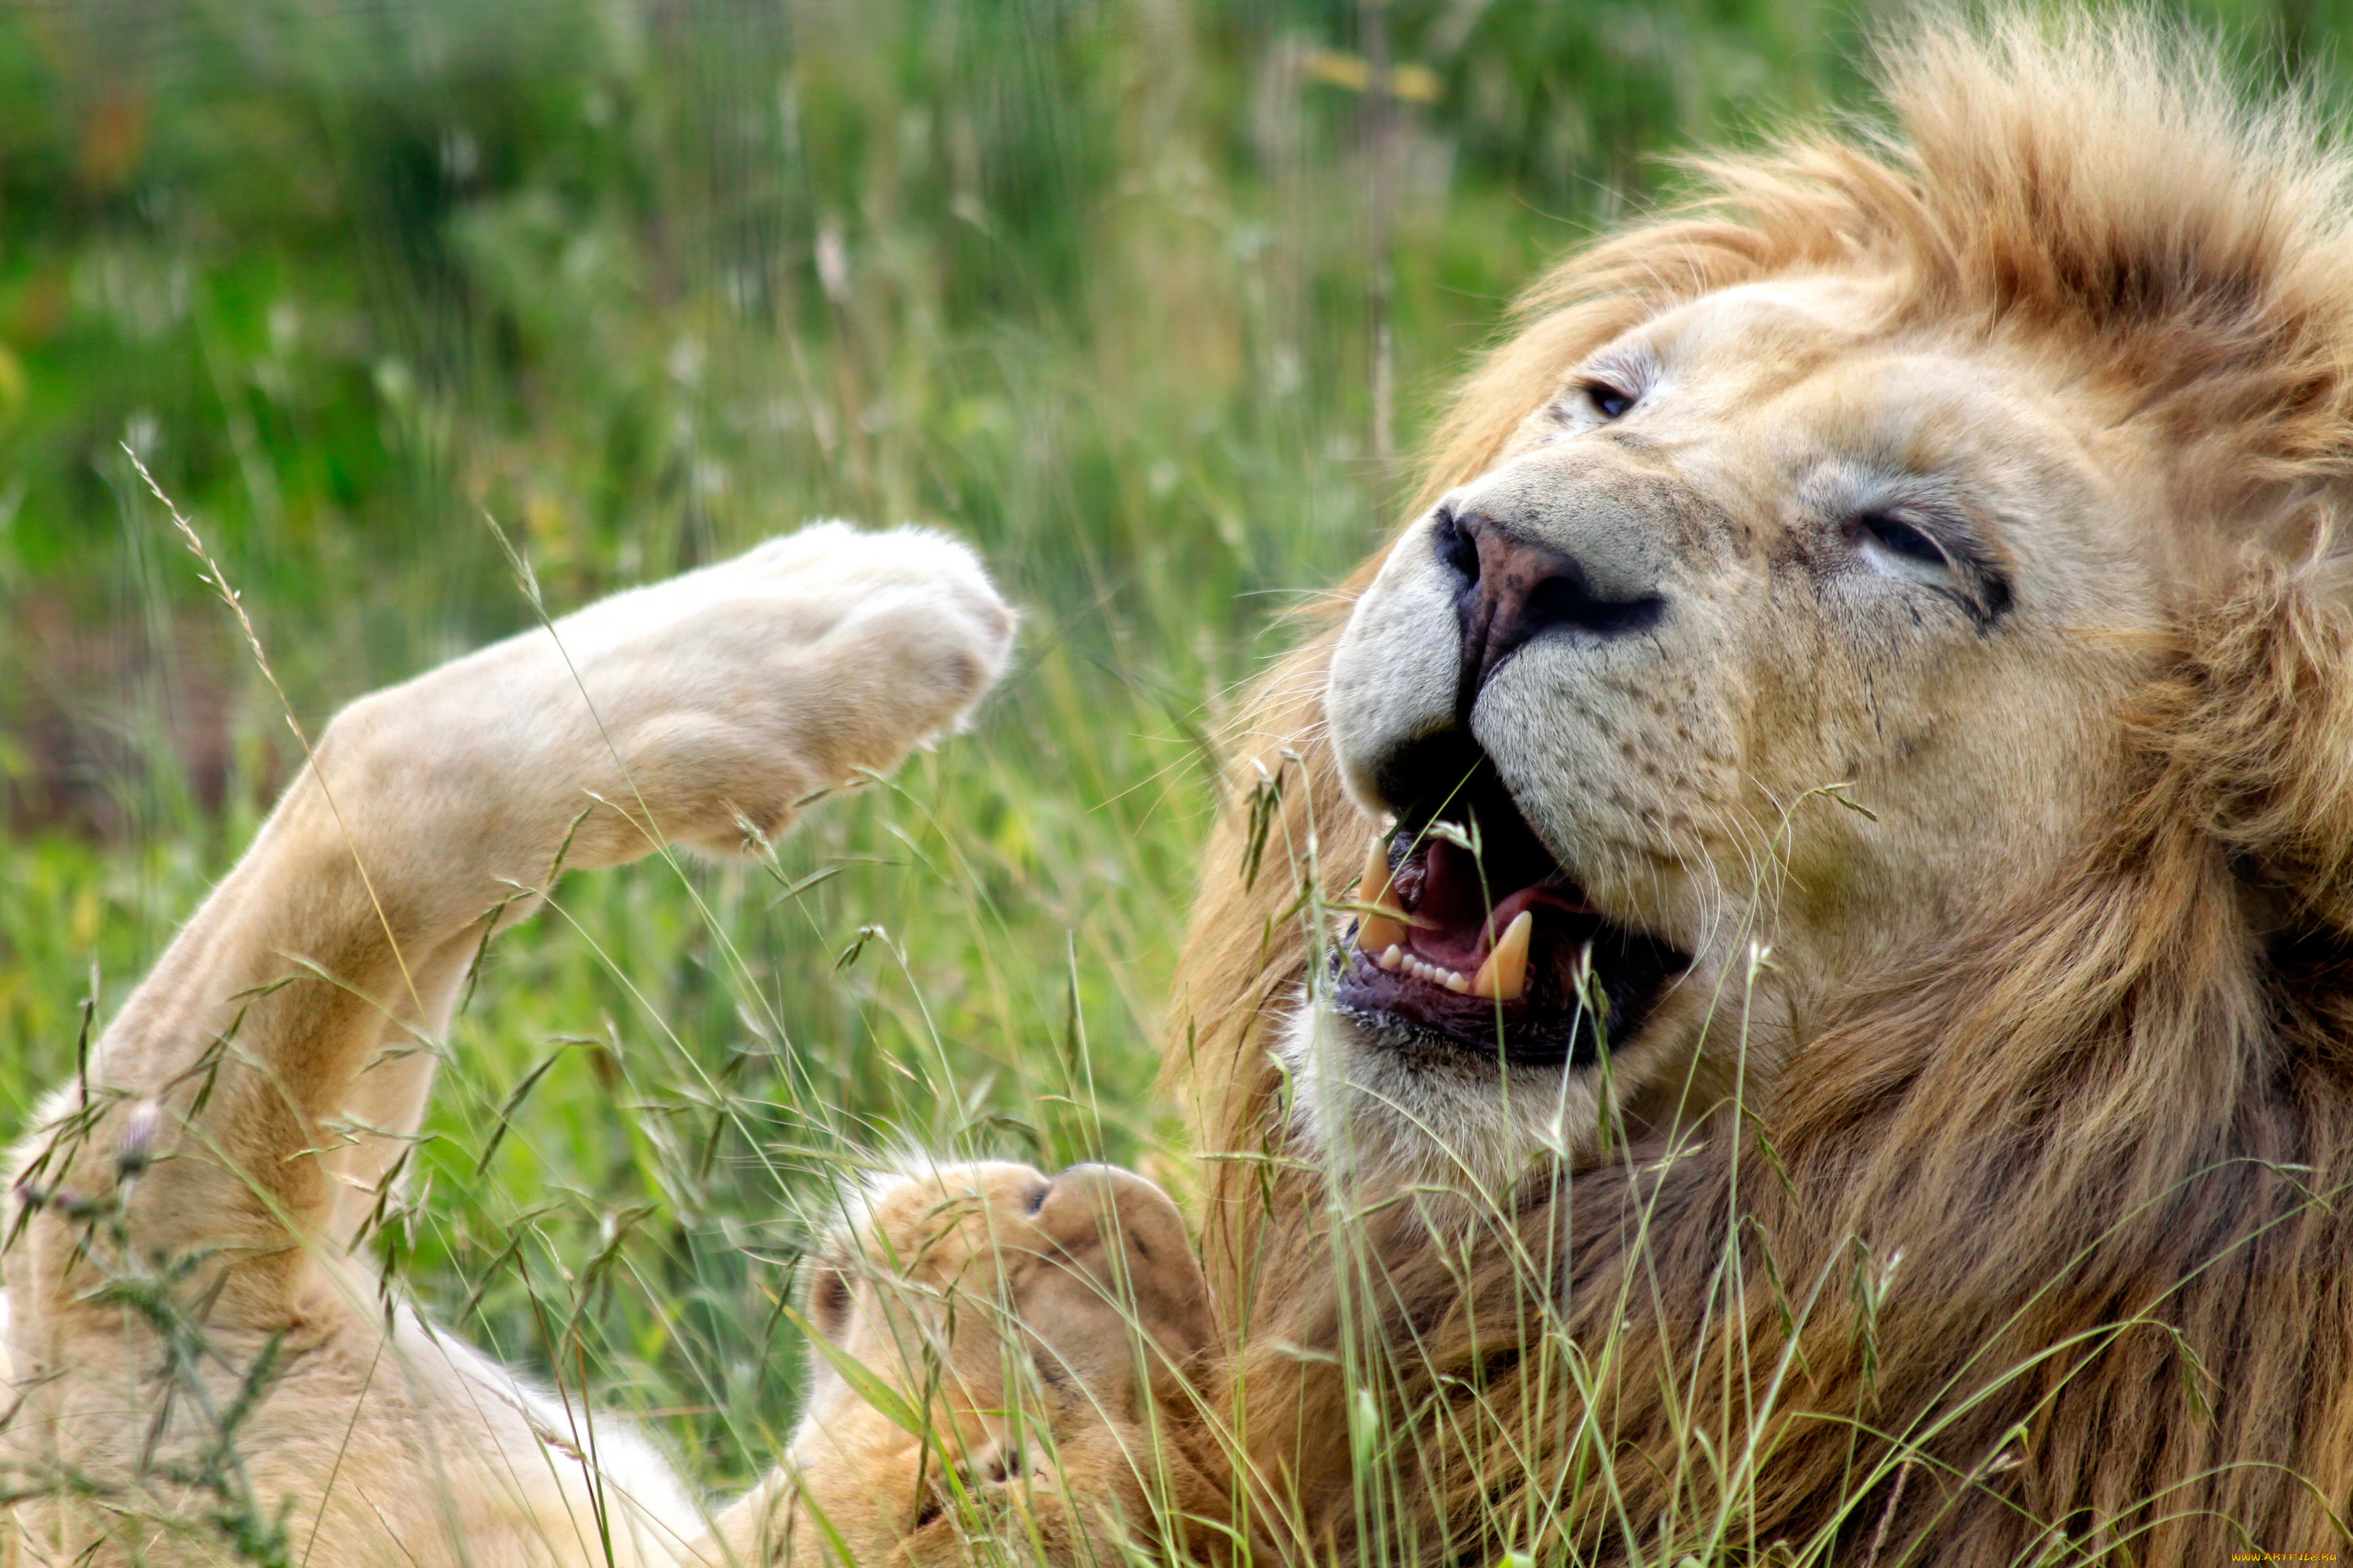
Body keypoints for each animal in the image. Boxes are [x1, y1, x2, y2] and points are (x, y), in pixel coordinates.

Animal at [14, 12, 2353, 1568]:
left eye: (1914, 544)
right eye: (1609, 395)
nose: (1502, 555)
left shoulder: (167, 1346)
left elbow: (333, 837)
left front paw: (863, 610)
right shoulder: (181, 1348)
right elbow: (358, 798)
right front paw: (867, 603)